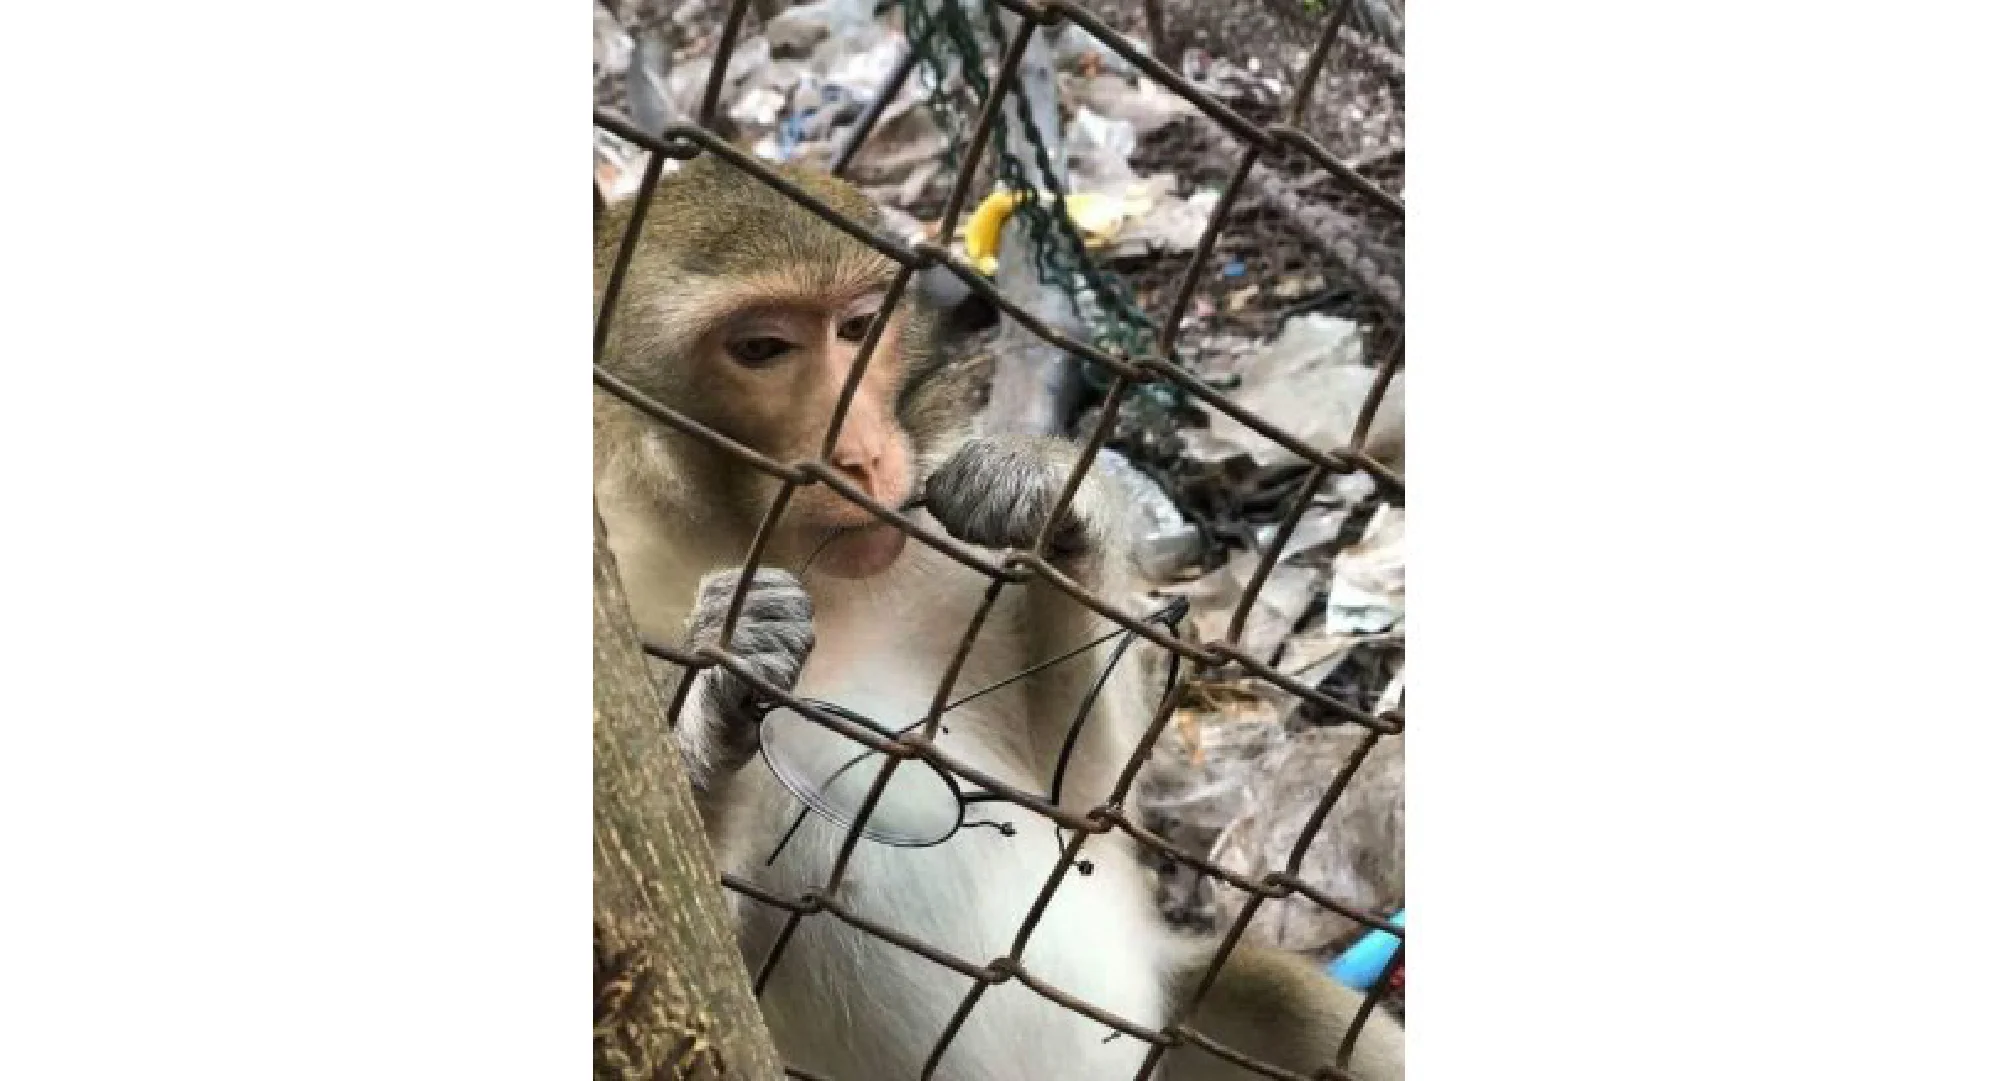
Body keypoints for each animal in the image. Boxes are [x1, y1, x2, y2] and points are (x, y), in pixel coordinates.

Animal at [595, 152, 1403, 1081]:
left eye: (859, 327)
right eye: (762, 349)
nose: (860, 456)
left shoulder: (939, 546)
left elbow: (1080, 797)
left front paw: (1043, 495)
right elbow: (697, 962)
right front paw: (728, 666)